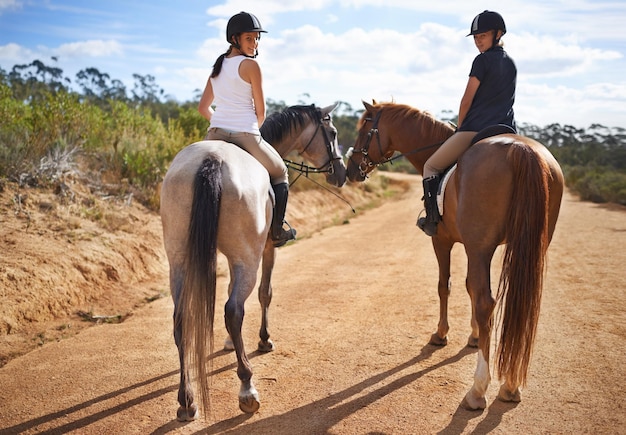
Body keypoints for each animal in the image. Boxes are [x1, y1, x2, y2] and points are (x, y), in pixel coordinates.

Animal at [160, 104, 346, 420]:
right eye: (332, 133)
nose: (342, 173)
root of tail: (211, 160)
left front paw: (226, 343)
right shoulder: (267, 249)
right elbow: (265, 294)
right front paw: (263, 339)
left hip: (179, 260)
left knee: (181, 318)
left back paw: (187, 401)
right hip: (248, 259)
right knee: (234, 310)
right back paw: (247, 388)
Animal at [344, 100, 564, 410]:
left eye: (364, 128)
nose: (351, 170)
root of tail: (522, 150)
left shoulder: (444, 241)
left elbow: (444, 286)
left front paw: (441, 334)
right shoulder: (476, 247)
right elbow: (469, 287)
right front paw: (473, 336)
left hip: (480, 247)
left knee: (486, 303)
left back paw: (478, 390)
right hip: (528, 246)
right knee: (521, 301)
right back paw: (510, 385)